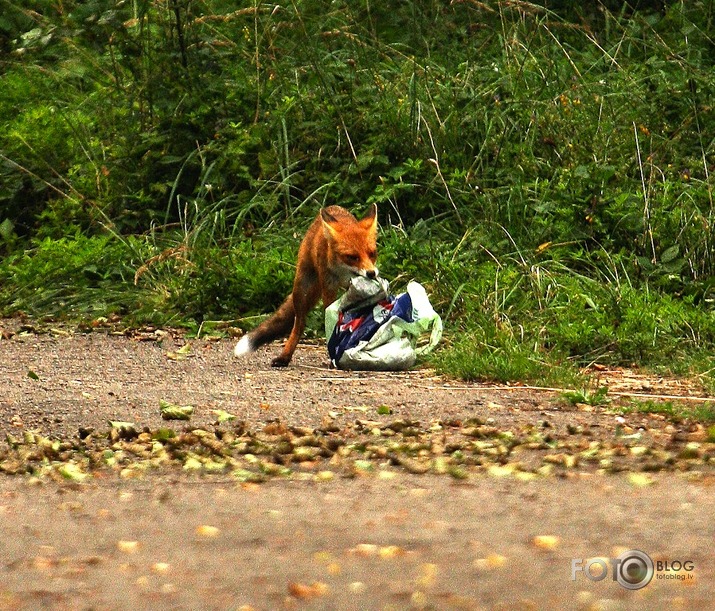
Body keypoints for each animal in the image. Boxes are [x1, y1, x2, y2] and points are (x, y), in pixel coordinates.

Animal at [235, 206, 380, 368]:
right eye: (352, 257)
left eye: (372, 254)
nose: (371, 273)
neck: (343, 274)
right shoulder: (329, 286)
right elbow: (331, 322)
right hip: (301, 290)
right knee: (299, 326)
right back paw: (285, 356)